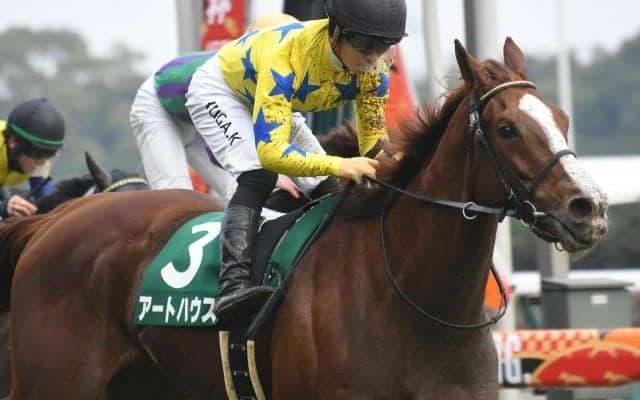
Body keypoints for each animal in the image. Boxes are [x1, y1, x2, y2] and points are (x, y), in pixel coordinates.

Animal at [0, 38, 608, 399]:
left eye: (561, 118)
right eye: (507, 129)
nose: (590, 208)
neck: (416, 302)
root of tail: (55, 223)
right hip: (58, 382)